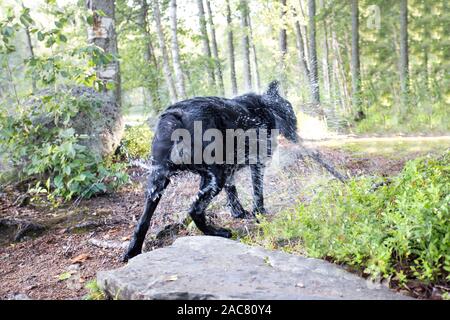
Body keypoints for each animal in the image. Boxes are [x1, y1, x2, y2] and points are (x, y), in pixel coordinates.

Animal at [124, 81, 298, 262]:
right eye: (291, 110)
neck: (266, 106)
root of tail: (176, 115)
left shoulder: (229, 170)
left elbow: (232, 192)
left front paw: (239, 213)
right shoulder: (257, 164)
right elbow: (258, 192)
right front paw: (260, 213)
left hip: (160, 181)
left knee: (143, 221)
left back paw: (132, 251)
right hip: (215, 177)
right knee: (195, 210)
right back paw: (218, 232)